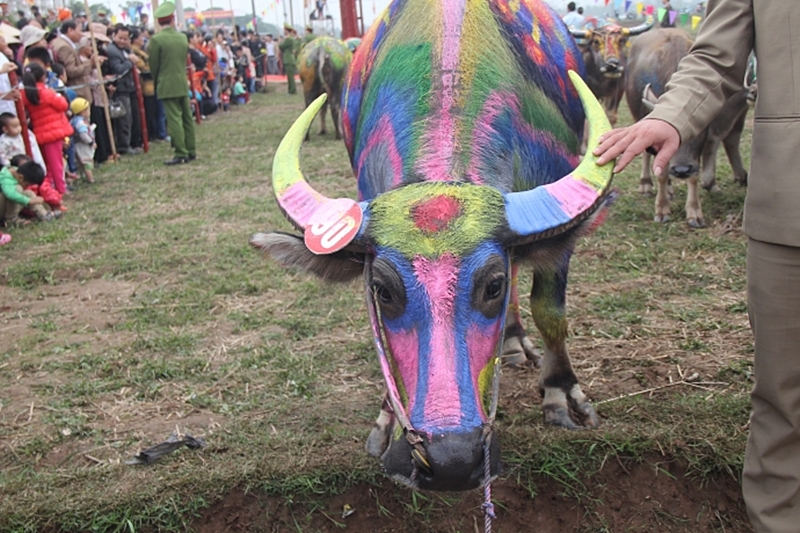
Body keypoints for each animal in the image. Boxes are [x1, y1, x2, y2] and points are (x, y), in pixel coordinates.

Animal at [253, 0, 616, 490]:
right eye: (383, 291)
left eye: (492, 286)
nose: (451, 461)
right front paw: (387, 419)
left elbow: (550, 311)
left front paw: (561, 394)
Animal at [624, 29, 752, 224]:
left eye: (699, 131)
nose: (681, 170)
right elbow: (661, 173)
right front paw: (662, 210)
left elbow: (693, 177)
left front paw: (694, 212)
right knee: (646, 155)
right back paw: (646, 185)